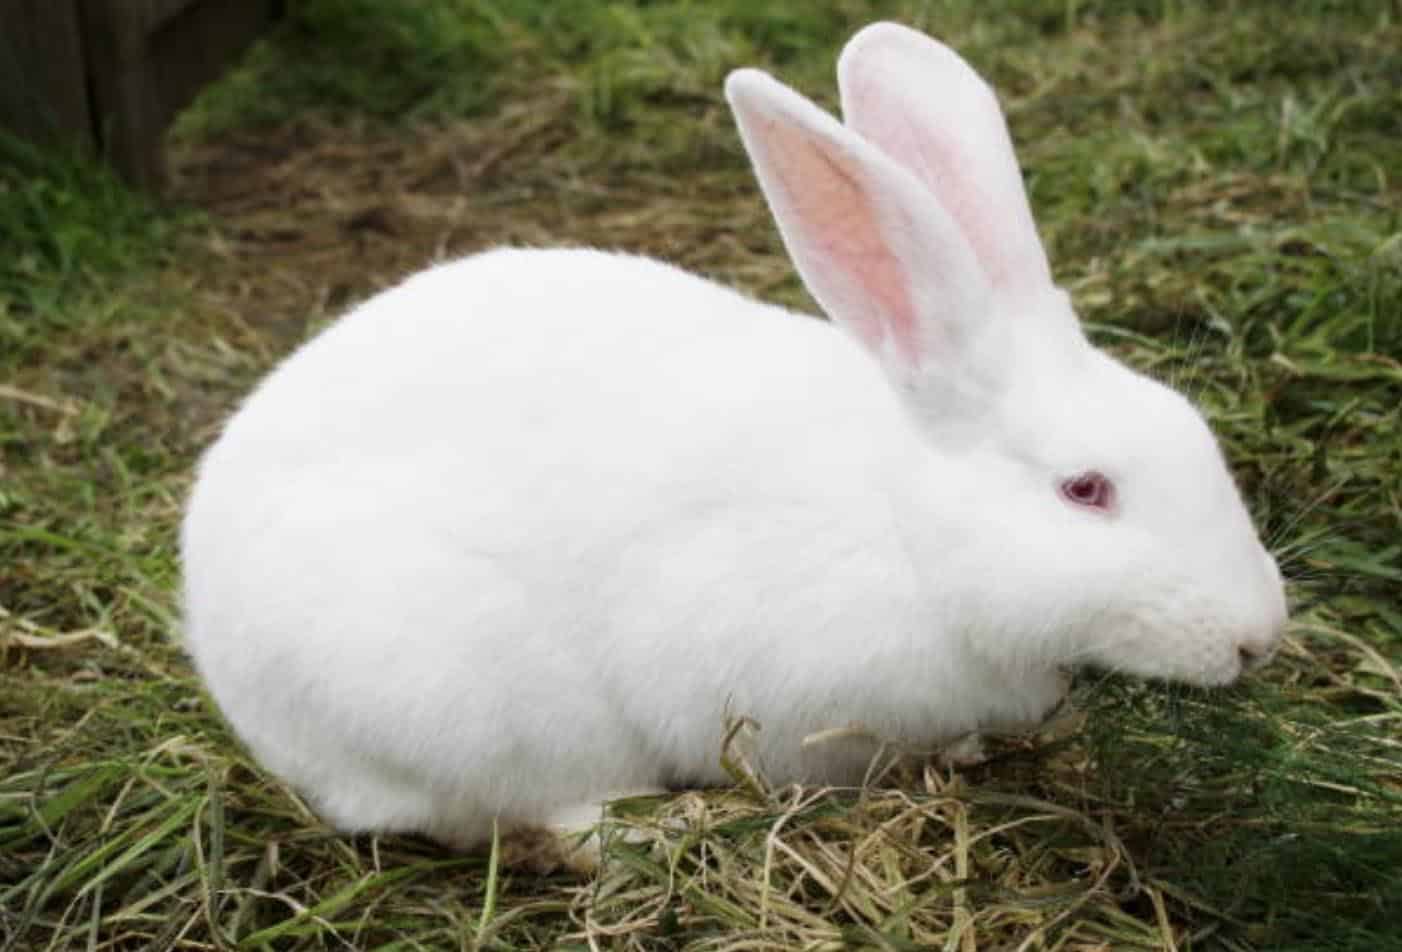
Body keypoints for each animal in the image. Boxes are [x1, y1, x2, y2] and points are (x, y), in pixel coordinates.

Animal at [180, 21, 1287, 855]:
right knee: (534, 811)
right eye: (1084, 490)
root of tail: (225, 655)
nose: (1259, 636)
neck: (906, 527)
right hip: (475, 709)